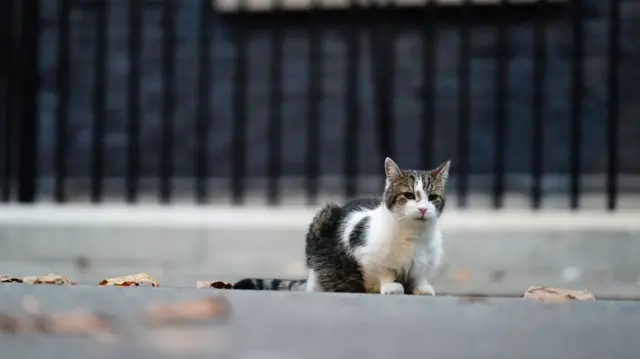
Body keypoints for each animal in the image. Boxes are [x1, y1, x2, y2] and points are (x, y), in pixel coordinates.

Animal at [231, 158, 450, 296]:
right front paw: (390, 286)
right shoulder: (366, 255)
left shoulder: (425, 263)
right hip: (322, 218)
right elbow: (384, 272)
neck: (414, 236)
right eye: (409, 195)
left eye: (432, 197)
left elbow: (419, 275)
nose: (423, 209)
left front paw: (422, 287)